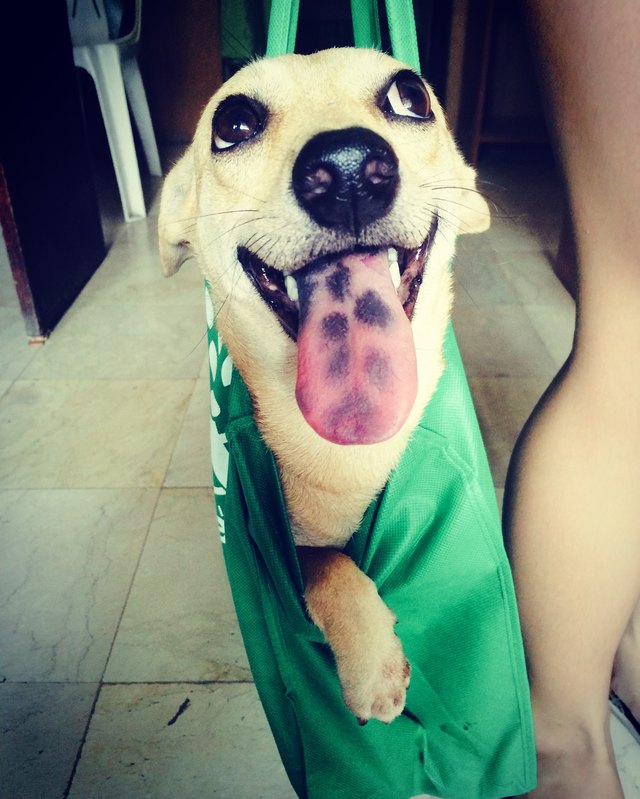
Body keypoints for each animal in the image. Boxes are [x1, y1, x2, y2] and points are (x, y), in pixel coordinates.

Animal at [158, 48, 488, 724]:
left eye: (411, 96)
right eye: (232, 123)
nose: (348, 169)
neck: (348, 450)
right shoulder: (288, 553)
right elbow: (323, 563)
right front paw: (373, 665)